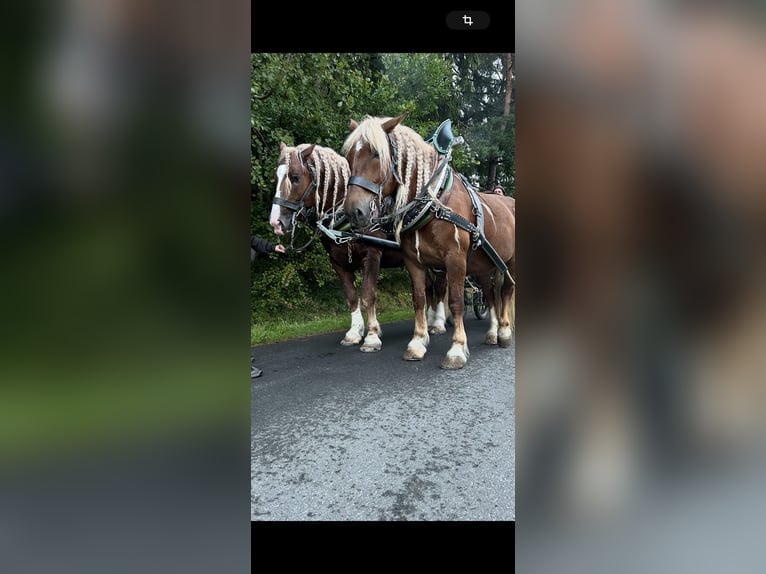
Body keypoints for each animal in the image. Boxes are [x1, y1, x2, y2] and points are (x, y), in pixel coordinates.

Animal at [270, 142, 450, 354]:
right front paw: (354, 332)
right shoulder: (338, 262)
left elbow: (368, 295)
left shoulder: (371, 256)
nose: (276, 222)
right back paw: (428, 321)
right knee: (428, 287)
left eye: (295, 177)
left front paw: (371, 336)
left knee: (440, 286)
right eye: (276, 177)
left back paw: (438, 323)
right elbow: (351, 297)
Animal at [346, 115, 516, 372]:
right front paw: (417, 343)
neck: (433, 204)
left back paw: (504, 333)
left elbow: (456, 302)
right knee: (490, 293)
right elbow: (419, 299)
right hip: (484, 265)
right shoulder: (413, 261)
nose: (354, 212)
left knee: (506, 291)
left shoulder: (455, 260)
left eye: (376, 154)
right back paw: (493, 333)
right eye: (348, 156)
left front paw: (456, 350)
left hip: (510, 263)